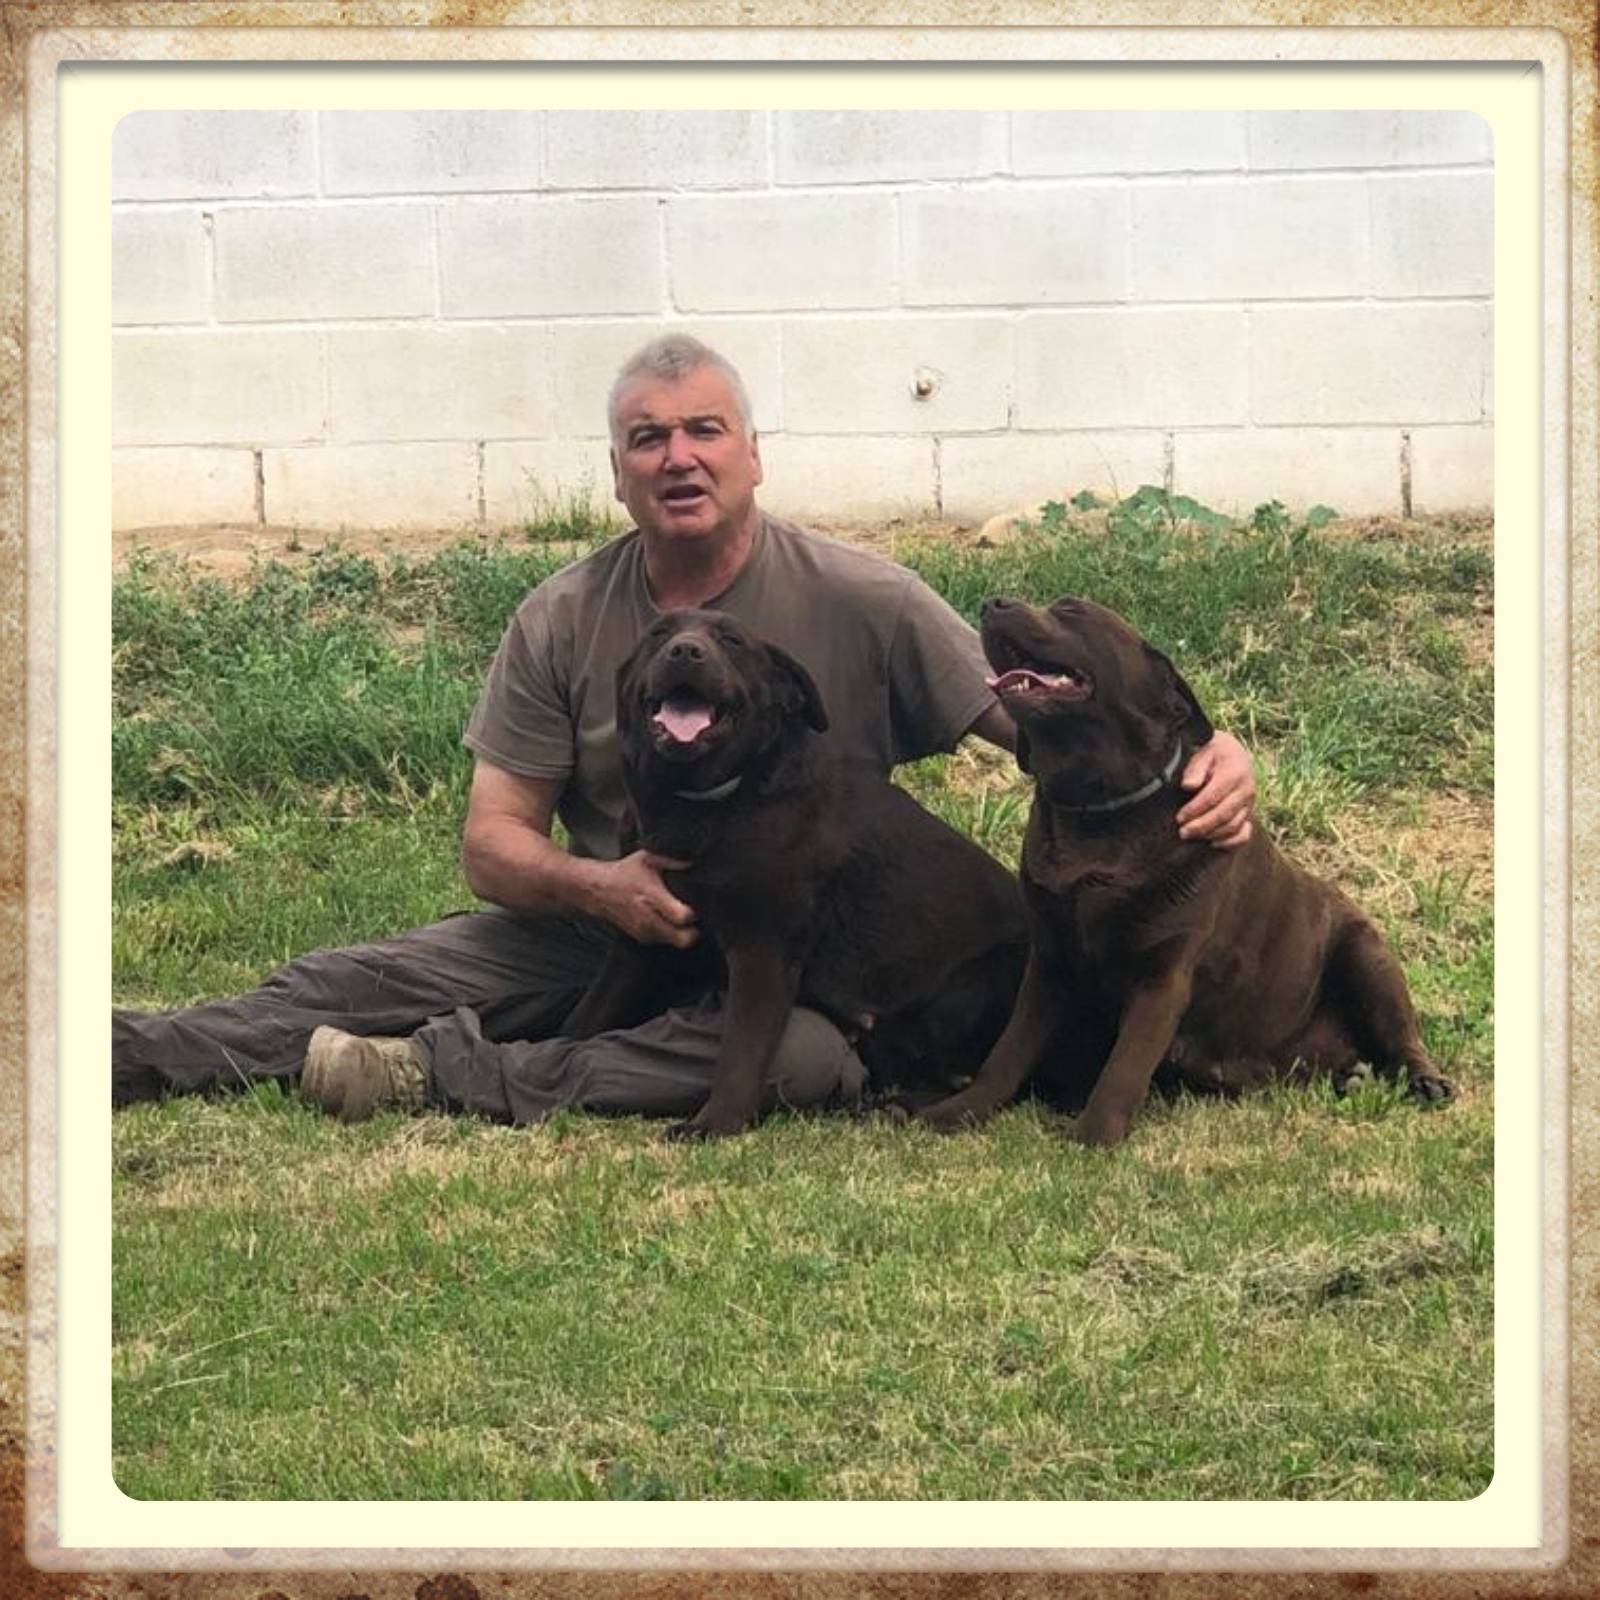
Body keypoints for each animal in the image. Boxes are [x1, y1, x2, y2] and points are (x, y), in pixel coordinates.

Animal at [560, 608, 1029, 1140]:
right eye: (659, 634)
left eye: (732, 641)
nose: (685, 651)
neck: (707, 802)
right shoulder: (639, 938)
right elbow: (586, 1016)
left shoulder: (764, 949)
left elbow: (740, 1053)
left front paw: (715, 1124)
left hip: (983, 982)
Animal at [919, 595, 1453, 1148]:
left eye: (1072, 609)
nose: (993, 602)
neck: (1100, 809)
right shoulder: (1049, 962)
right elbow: (1009, 1051)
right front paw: (958, 1111)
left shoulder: (1163, 975)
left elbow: (1124, 1066)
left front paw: (1091, 1137)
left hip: (1365, 953)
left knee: (1402, 1034)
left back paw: (1424, 1079)